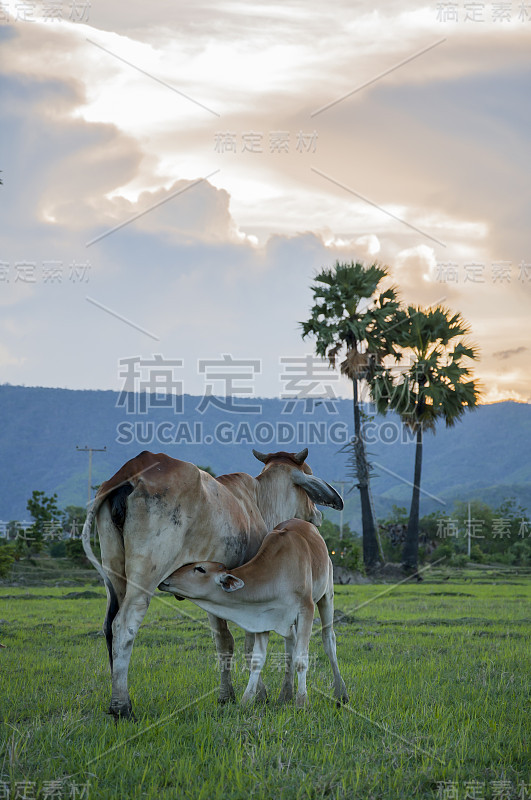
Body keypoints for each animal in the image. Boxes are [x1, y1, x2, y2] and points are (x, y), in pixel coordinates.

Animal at [158, 520, 350, 708]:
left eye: (200, 569)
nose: (166, 578)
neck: (277, 573)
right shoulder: (263, 617)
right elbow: (257, 660)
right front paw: (246, 700)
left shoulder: (306, 610)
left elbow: (301, 659)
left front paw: (302, 702)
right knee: (290, 645)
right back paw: (285, 694)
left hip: (327, 595)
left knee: (329, 640)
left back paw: (341, 693)